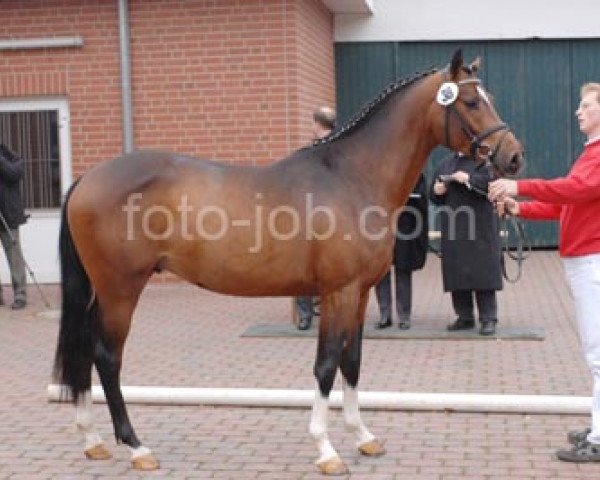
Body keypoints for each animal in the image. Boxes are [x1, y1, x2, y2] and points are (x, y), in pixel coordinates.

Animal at [54, 49, 524, 476]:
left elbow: (352, 362)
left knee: (85, 352)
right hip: (120, 290)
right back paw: (135, 446)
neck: (351, 178)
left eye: (487, 97)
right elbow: (326, 364)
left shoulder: (360, 294)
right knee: (106, 357)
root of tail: (87, 178)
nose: (514, 156)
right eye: (471, 102)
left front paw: (364, 437)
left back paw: (93, 440)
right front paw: (326, 449)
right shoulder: (337, 293)